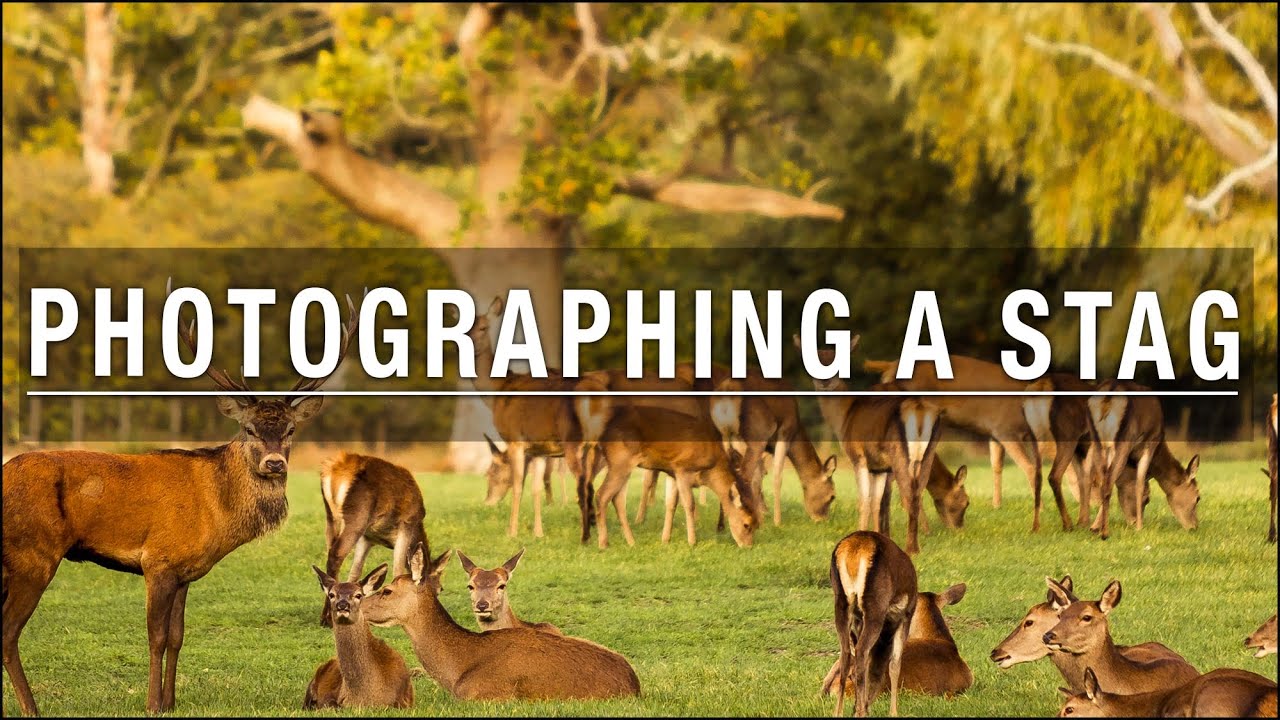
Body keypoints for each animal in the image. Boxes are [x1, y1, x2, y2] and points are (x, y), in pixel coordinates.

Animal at [0, 287, 357, 716]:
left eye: (290, 429)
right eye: (249, 428)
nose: (274, 463)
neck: (215, 511)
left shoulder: (185, 571)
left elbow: (177, 636)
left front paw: (171, 701)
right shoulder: (158, 560)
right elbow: (155, 636)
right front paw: (153, 704)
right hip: (33, 554)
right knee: (7, 632)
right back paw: (31, 708)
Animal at [318, 451, 429, 627]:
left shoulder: (367, 537)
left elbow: (355, 571)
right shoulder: (407, 523)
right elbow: (398, 568)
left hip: (331, 517)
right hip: (357, 516)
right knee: (336, 554)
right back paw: (328, 618)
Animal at [805, 336, 944, 555]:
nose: (824, 382)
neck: (845, 417)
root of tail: (919, 408)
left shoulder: (858, 456)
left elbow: (864, 500)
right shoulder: (879, 467)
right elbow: (877, 501)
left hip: (899, 453)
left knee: (909, 495)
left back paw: (911, 548)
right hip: (927, 452)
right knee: (916, 492)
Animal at [827, 531, 918, 717]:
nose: (868, 703)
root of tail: (854, 550)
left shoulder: (858, 620)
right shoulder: (906, 615)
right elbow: (895, 664)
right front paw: (893, 713)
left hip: (841, 602)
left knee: (846, 653)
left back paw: (840, 712)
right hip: (874, 605)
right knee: (861, 651)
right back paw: (860, 712)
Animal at [1087, 380, 1200, 539]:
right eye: (1198, 497)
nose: (1194, 527)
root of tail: (1109, 394)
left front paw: (1094, 526)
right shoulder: (1150, 444)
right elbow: (1139, 483)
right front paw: (1140, 528)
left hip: (1096, 438)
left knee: (1097, 479)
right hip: (1124, 438)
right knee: (1108, 482)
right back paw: (1105, 532)